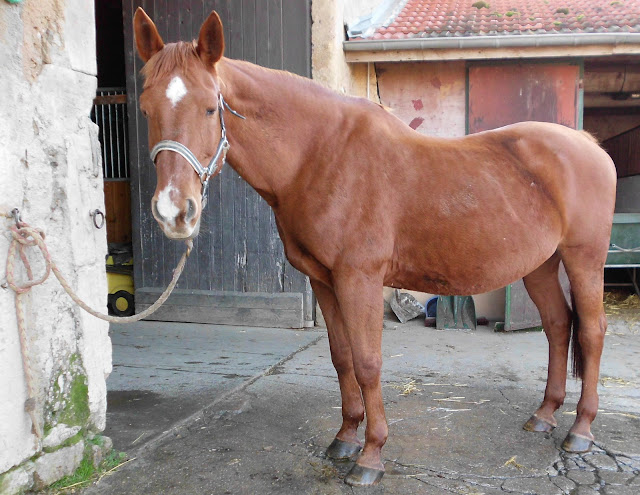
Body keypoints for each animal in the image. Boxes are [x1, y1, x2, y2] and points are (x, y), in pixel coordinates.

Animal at [132, 8, 616, 488]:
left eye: (210, 108)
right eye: (146, 109)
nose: (174, 211)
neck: (320, 155)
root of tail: (588, 144)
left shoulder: (359, 278)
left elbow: (367, 363)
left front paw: (371, 455)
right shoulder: (323, 280)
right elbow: (341, 357)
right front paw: (346, 437)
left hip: (583, 259)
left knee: (591, 332)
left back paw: (581, 430)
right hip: (540, 265)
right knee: (557, 326)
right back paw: (545, 415)